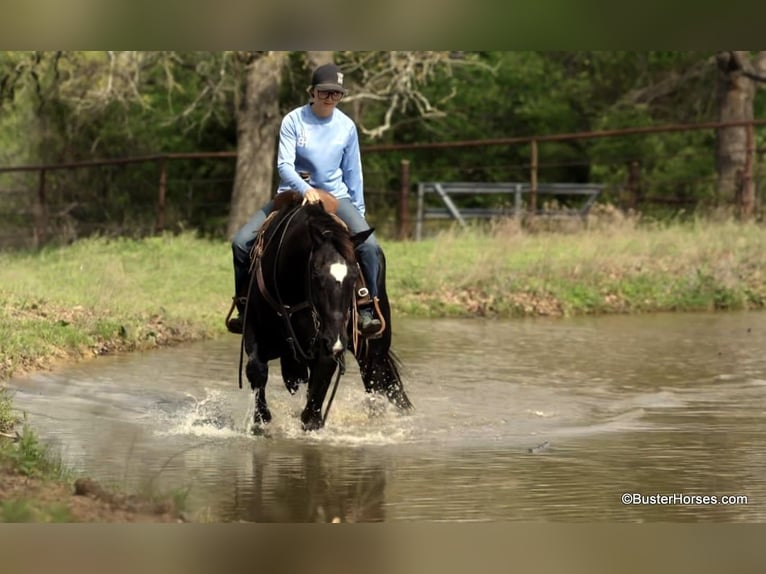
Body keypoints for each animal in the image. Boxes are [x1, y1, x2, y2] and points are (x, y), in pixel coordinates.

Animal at [243, 194, 414, 432]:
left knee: (376, 379)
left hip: (373, 349)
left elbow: (315, 399)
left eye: (355, 275)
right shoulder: (253, 330)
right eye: (315, 273)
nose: (335, 340)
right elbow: (256, 370)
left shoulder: (327, 345)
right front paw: (262, 421)